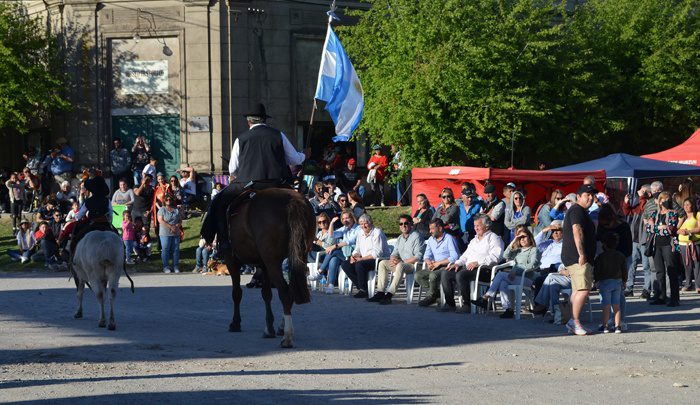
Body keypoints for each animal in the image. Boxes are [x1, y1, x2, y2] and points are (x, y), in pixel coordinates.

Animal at [221, 187, 314, 348]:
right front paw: (269, 328)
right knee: (291, 290)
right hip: (298, 256)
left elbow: (236, 293)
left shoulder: (231, 260)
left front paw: (235, 323)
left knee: (285, 292)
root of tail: (291, 199)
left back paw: (287, 337)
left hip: (273, 262)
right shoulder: (263, 265)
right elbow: (266, 294)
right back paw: (282, 328)